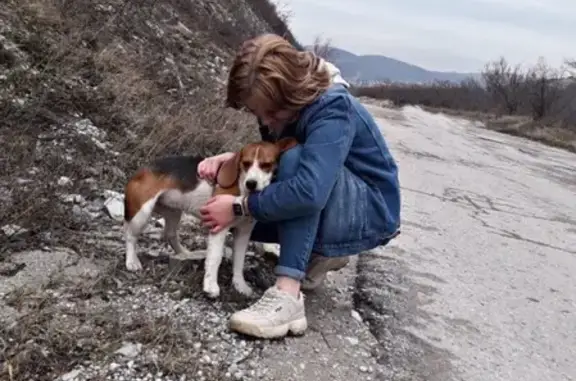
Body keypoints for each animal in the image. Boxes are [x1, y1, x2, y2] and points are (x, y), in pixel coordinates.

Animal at [124, 138, 300, 298]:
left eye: (266, 165)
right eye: (246, 163)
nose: (251, 183)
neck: (242, 190)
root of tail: (142, 168)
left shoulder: (244, 232)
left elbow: (239, 261)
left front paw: (239, 285)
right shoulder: (219, 226)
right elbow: (215, 257)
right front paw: (210, 286)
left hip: (174, 212)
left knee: (170, 234)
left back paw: (185, 254)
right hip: (142, 213)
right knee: (131, 236)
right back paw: (132, 261)